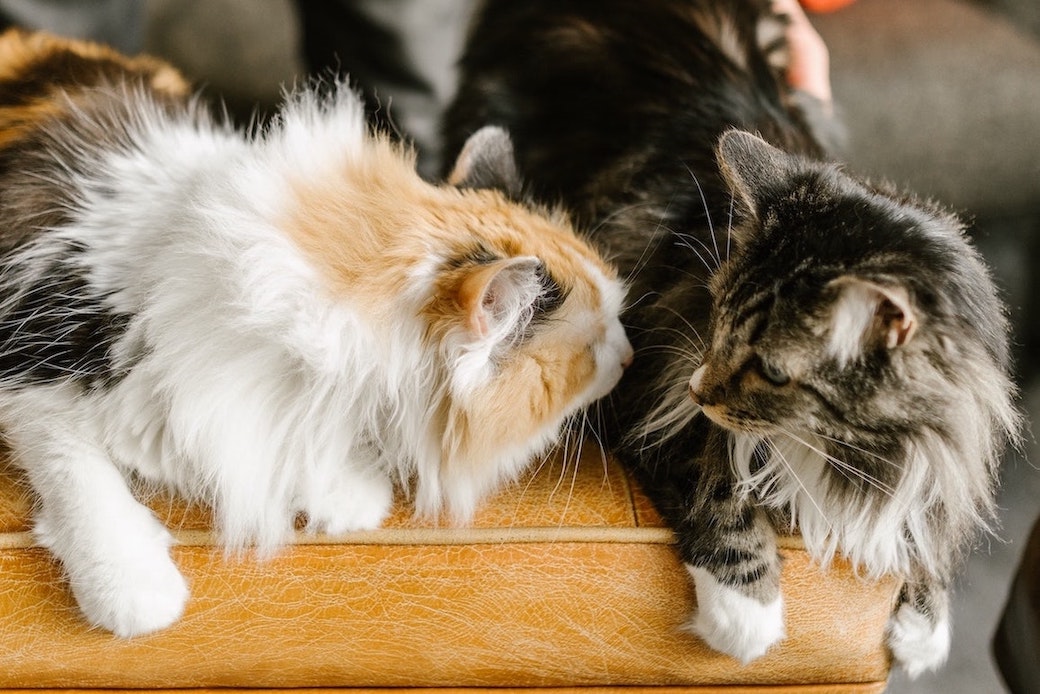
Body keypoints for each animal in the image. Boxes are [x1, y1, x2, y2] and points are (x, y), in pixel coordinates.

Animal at [0, 31, 632, 640]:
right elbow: (83, 477)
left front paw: (343, 490)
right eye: (593, 344)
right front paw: (134, 589)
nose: (629, 355)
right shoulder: (36, 364)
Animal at [443, 0, 1019, 678]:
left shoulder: (948, 444)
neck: (842, 446)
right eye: (717, 316)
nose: (700, 388)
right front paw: (748, 613)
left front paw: (925, 623)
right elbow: (715, 480)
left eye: (772, 371)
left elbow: (927, 521)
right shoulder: (646, 377)